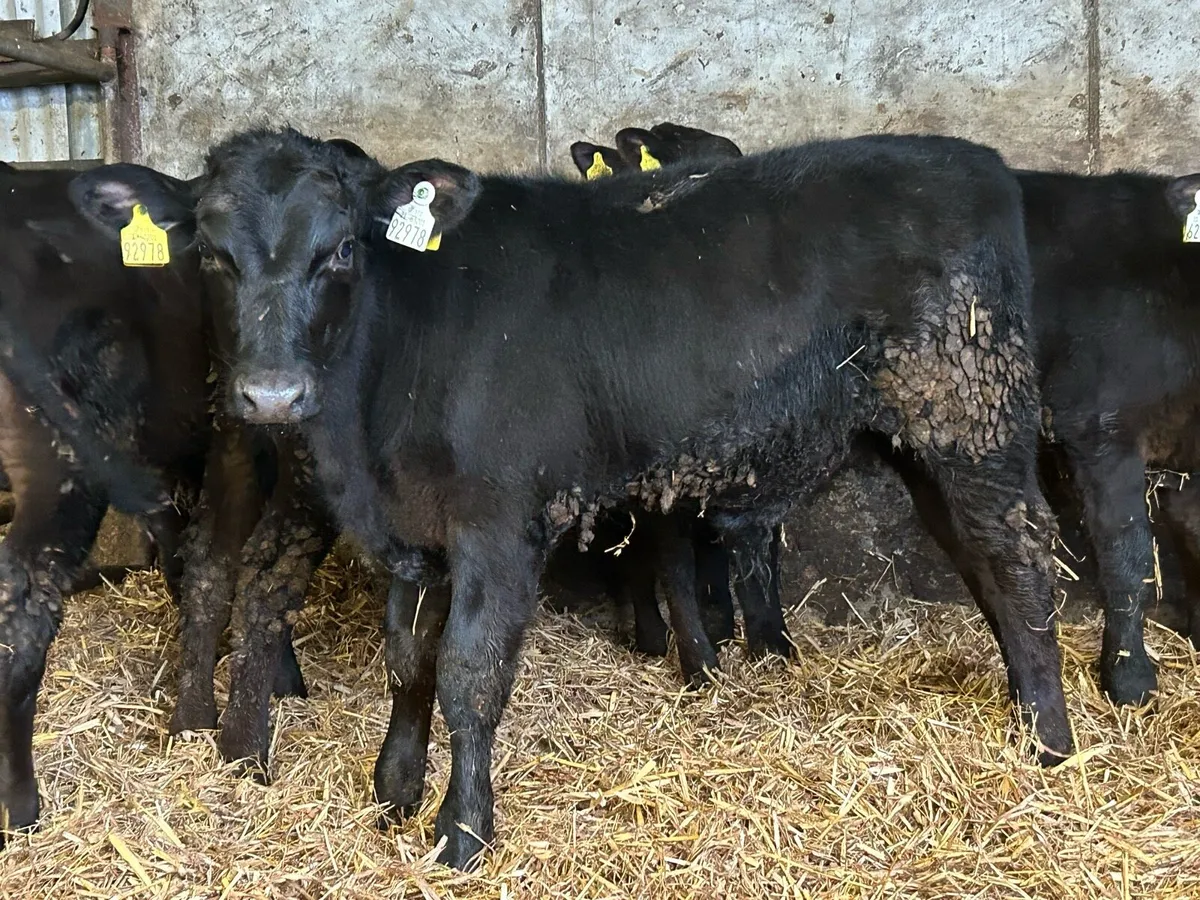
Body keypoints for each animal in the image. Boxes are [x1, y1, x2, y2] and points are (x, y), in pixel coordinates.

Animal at [70, 128, 1072, 870]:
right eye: (212, 254)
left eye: (343, 248)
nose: (272, 397)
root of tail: (970, 158)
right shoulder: (419, 529)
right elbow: (409, 662)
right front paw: (394, 796)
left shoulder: (497, 522)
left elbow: (469, 674)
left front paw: (462, 835)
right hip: (927, 440)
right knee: (988, 569)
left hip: (970, 419)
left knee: (1019, 563)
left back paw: (1055, 747)